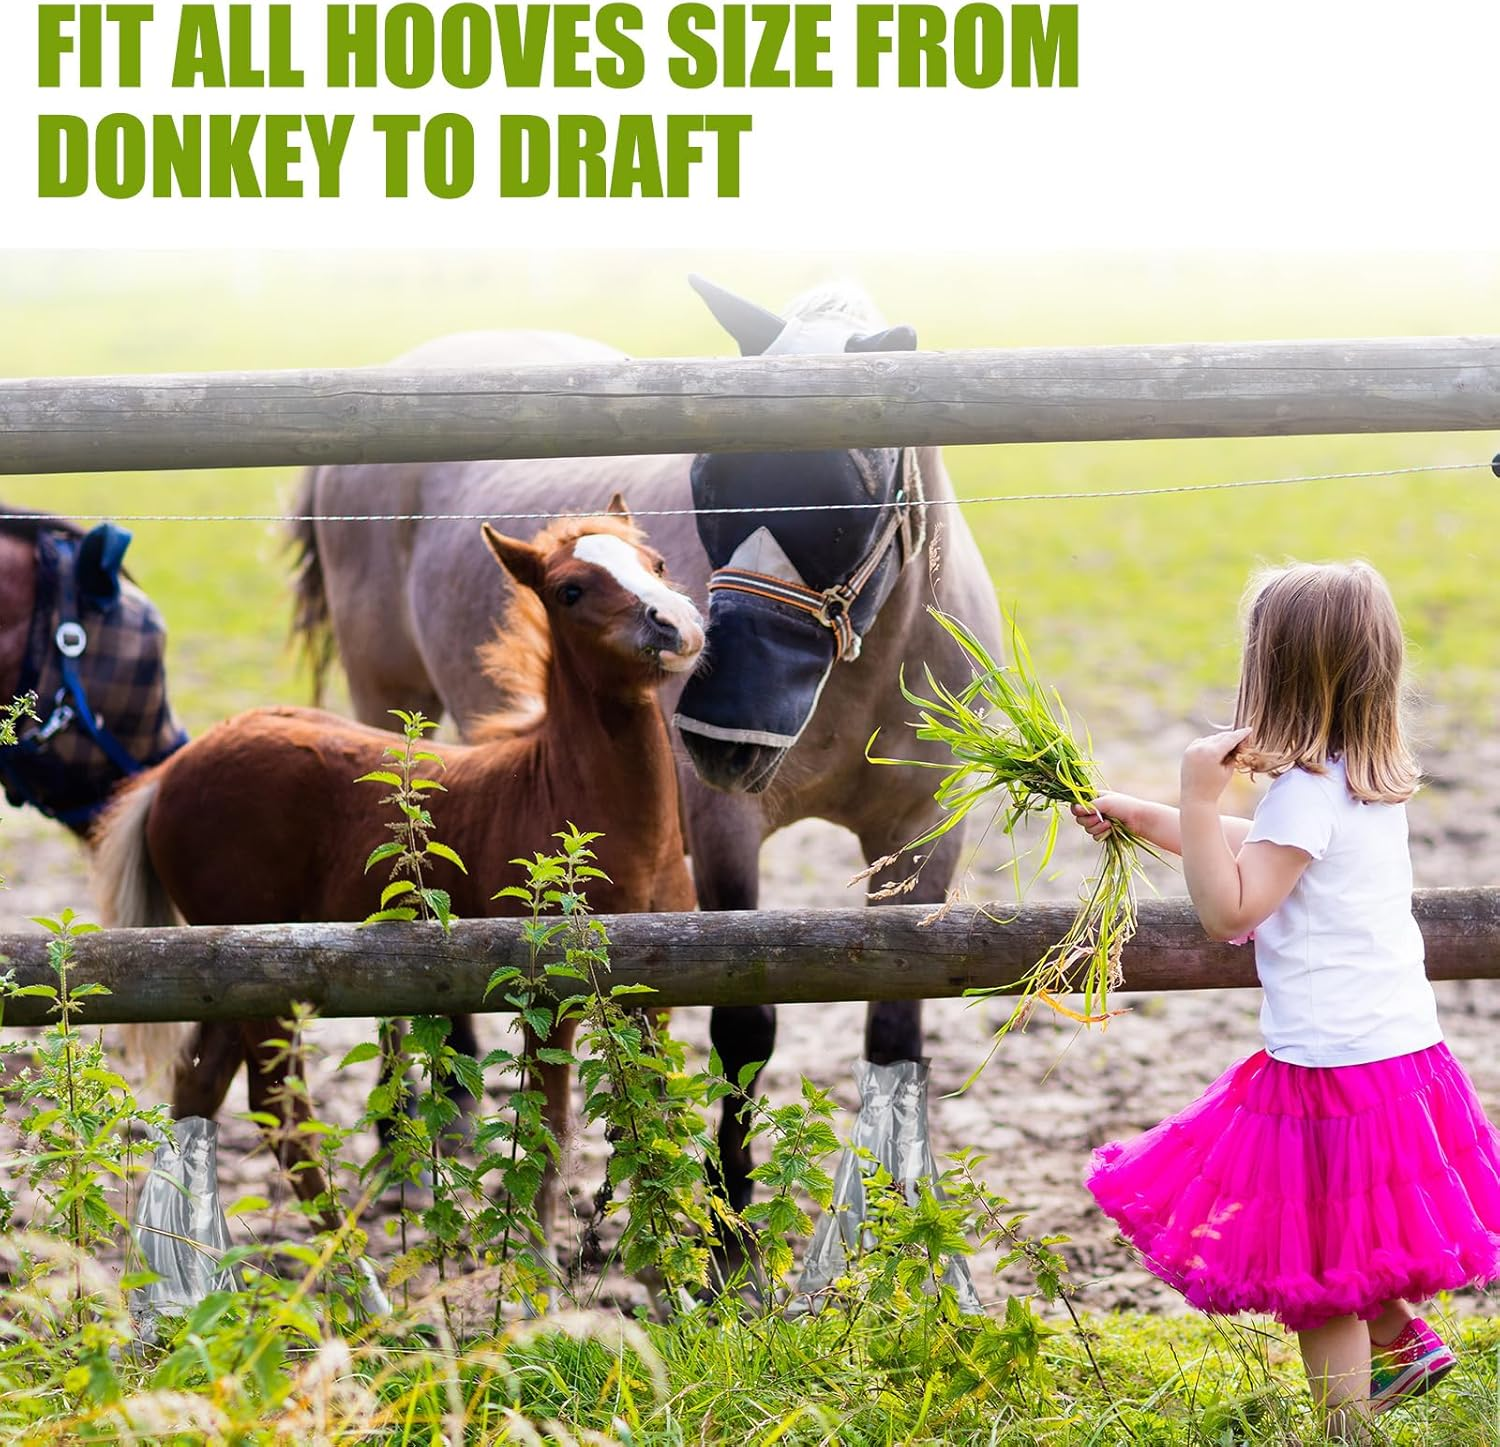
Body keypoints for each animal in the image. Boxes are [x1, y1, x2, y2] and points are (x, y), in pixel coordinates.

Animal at [93, 503, 704, 1263]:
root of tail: (168, 773)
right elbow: (550, 1128)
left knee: (200, 1088)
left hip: (220, 976)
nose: (676, 624)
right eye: (569, 589)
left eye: (656, 564)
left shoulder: (658, 991)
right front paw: (536, 1267)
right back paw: (349, 1266)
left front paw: (678, 1266)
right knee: (277, 1106)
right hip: (260, 977)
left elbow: (653, 1116)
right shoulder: (549, 993)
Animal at [289, 279, 1003, 1231]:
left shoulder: (922, 835)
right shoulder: (725, 829)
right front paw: (729, 1228)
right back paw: (419, 1130)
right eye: (707, 479)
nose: (721, 731)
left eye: (844, 497)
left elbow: (895, 1027)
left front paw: (897, 1225)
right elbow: (744, 1023)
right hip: (392, 707)